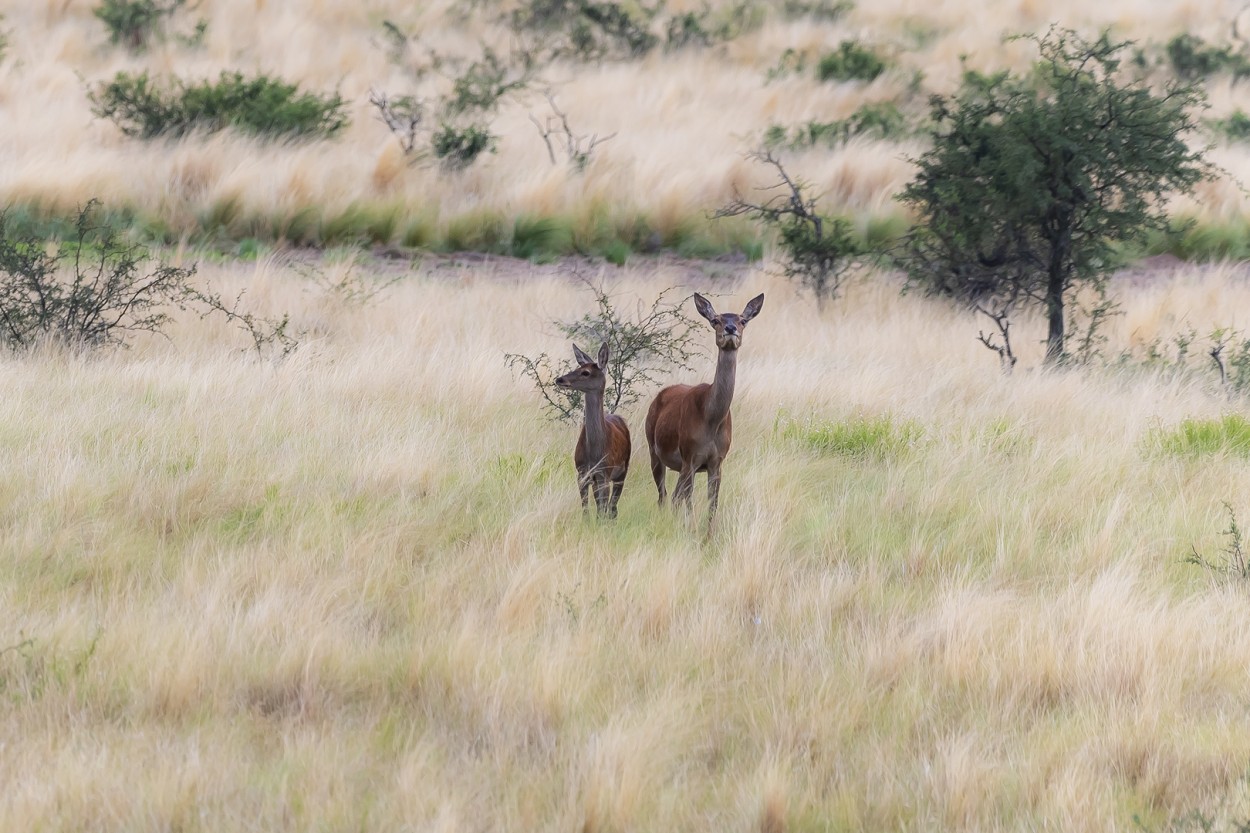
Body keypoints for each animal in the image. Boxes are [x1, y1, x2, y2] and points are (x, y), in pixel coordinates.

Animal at [557, 342, 635, 512]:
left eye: (586, 372)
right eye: (578, 367)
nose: (560, 379)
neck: (594, 452)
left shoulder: (603, 473)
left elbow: (602, 511)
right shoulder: (582, 473)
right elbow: (586, 510)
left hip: (622, 471)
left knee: (613, 508)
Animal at [645, 291, 760, 532]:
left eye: (742, 320)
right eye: (715, 320)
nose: (730, 329)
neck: (711, 419)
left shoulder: (717, 461)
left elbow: (712, 503)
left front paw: (709, 534)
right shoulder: (691, 456)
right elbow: (689, 501)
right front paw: (690, 529)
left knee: (674, 496)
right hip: (655, 450)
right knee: (664, 495)